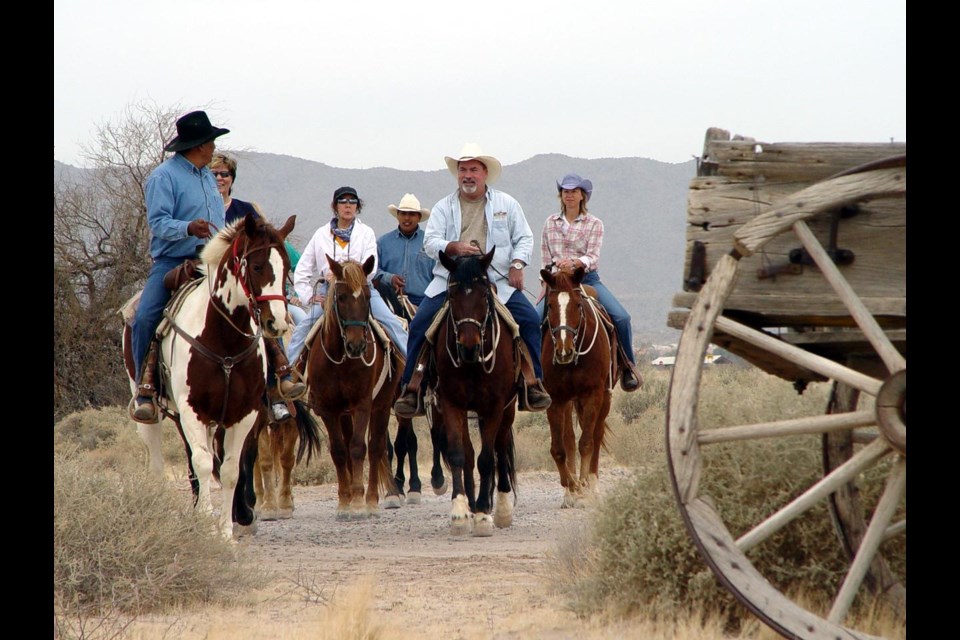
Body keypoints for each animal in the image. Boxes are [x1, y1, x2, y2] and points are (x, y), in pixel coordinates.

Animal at [124, 212, 296, 536]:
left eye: (287, 268)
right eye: (257, 266)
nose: (277, 323)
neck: (224, 339)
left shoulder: (245, 413)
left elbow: (229, 469)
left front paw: (227, 531)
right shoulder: (194, 410)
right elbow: (203, 463)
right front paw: (206, 521)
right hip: (155, 412)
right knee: (160, 458)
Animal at [302, 255, 404, 520]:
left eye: (367, 296)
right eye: (341, 297)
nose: (357, 345)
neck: (341, 360)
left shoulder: (362, 405)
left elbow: (359, 448)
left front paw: (358, 503)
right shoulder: (328, 409)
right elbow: (339, 450)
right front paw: (344, 502)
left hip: (381, 406)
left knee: (376, 447)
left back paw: (373, 500)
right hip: (344, 413)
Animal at [430, 248, 516, 536]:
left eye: (484, 295)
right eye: (452, 296)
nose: (469, 347)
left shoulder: (494, 406)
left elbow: (488, 458)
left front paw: (483, 516)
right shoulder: (451, 403)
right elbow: (459, 454)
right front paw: (460, 511)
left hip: (508, 409)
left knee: (500, 448)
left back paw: (498, 507)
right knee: (468, 454)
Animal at [540, 268, 616, 508]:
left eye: (577, 305)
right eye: (550, 305)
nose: (564, 350)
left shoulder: (593, 395)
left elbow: (587, 443)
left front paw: (583, 485)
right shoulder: (555, 399)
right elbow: (559, 448)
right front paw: (571, 487)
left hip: (604, 398)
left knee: (596, 436)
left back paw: (592, 485)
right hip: (569, 402)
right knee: (569, 439)